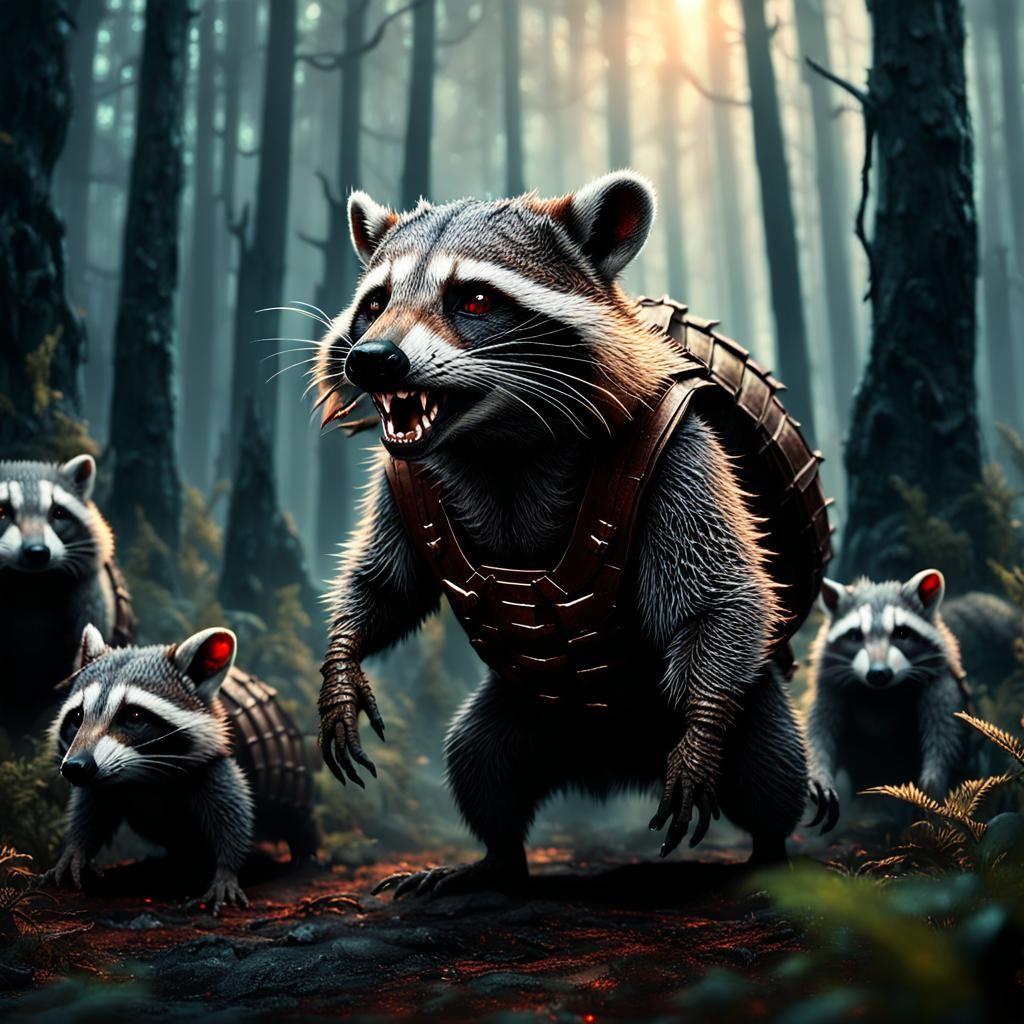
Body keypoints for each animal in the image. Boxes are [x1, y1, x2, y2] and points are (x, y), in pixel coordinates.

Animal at [43, 625, 316, 913]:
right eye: (77, 717)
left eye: (134, 717)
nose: (75, 767)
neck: (142, 776)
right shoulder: (101, 780)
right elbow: (90, 809)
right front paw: (76, 850)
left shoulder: (217, 762)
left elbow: (233, 814)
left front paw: (226, 870)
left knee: (297, 821)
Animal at [312, 172, 811, 897]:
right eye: (376, 302)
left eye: (475, 299)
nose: (373, 360)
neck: (498, 439)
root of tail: (614, 763)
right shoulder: (403, 478)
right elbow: (384, 584)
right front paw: (343, 664)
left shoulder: (679, 447)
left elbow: (722, 596)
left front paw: (700, 734)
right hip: (521, 712)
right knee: (479, 760)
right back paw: (494, 858)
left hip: (749, 702)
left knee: (771, 761)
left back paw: (770, 848)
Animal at [804, 569, 970, 832]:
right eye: (855, 635)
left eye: (901, 633)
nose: (879, 673)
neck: (880, 694)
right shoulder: (830, 687)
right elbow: (819, 732)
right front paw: (819, 773)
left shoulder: (942, 682)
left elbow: (945, 736)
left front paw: (933, 781)